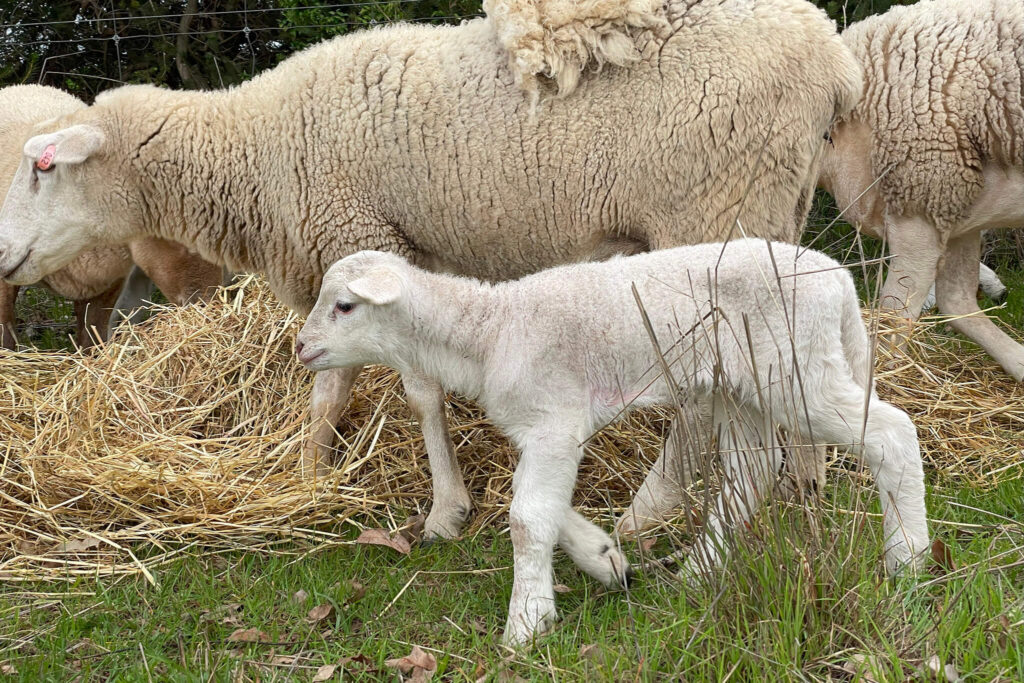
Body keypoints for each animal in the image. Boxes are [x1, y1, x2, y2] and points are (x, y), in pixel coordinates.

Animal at [294, 240, 929, 647]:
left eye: (344, 306)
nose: (301, 348)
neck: (488, 330)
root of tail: (839, 279)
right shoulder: (544, 431)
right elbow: (544, 507)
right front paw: (605, 560)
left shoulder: (555, 421)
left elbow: (526, 518)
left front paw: (526, 625)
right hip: (741, 385)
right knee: (750, 473)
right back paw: (697, 573)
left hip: (796, 370)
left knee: (892, 436)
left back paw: (909, 560)